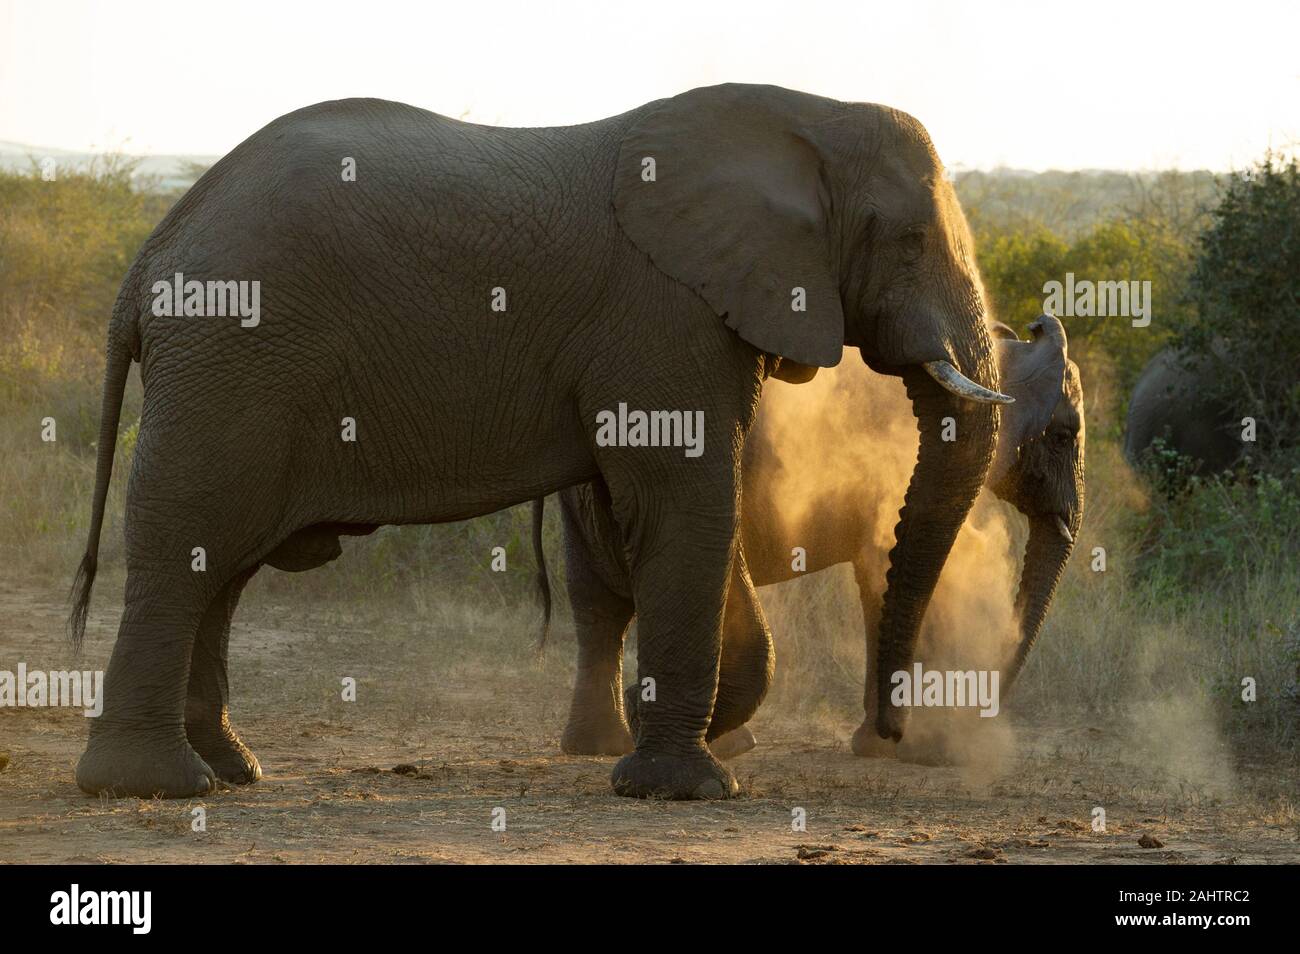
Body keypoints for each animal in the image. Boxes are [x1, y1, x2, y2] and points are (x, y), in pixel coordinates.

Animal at [69, 83, 1012, 801]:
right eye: (912, 241)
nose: (891, 731)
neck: (806, 114)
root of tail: (149, 256)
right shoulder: (664, 315)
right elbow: (688, 505)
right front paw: (685, 789)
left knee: (220, 565)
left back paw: (231, 770)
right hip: (232, 359)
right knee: (190, 540)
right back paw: (155, 786)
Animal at [539, 315, 1084, 759]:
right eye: (1063, 437)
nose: (902, 735)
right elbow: (885, 574)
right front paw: (896, 747)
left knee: (597, 603)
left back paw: (613, 743)